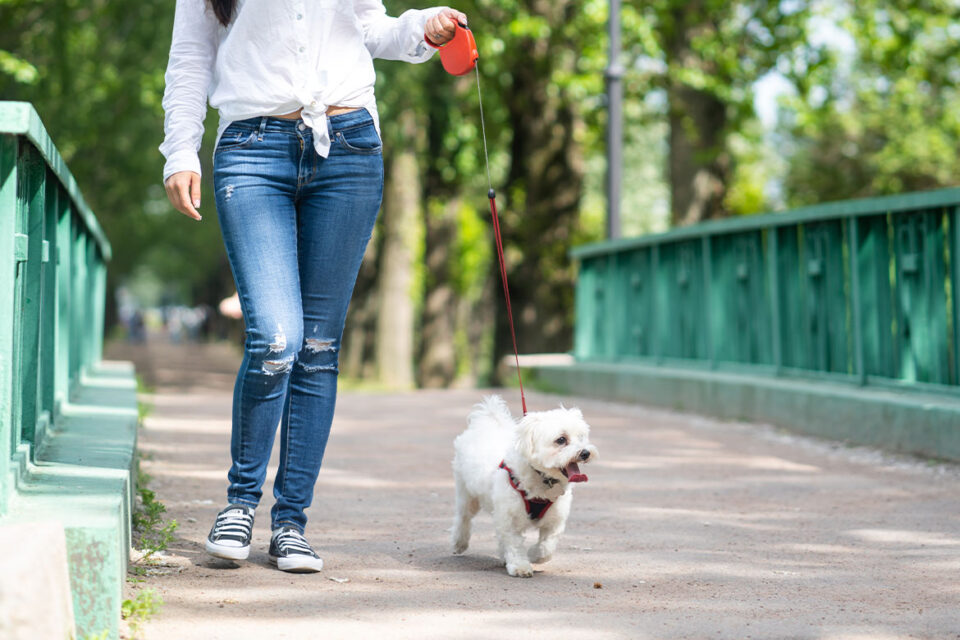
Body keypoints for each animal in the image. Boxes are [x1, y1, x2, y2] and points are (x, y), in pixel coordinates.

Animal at [452, 396, 600, 576]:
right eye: (561, 440)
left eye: (581, 437)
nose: (585, 453)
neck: (542, 478)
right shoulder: (510, 518)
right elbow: (514, 543)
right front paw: (520, 566)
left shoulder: (555, 520)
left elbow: (547, 547)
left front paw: (534, 555)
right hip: (467, 494)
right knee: (463, 517)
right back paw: (459, 542)